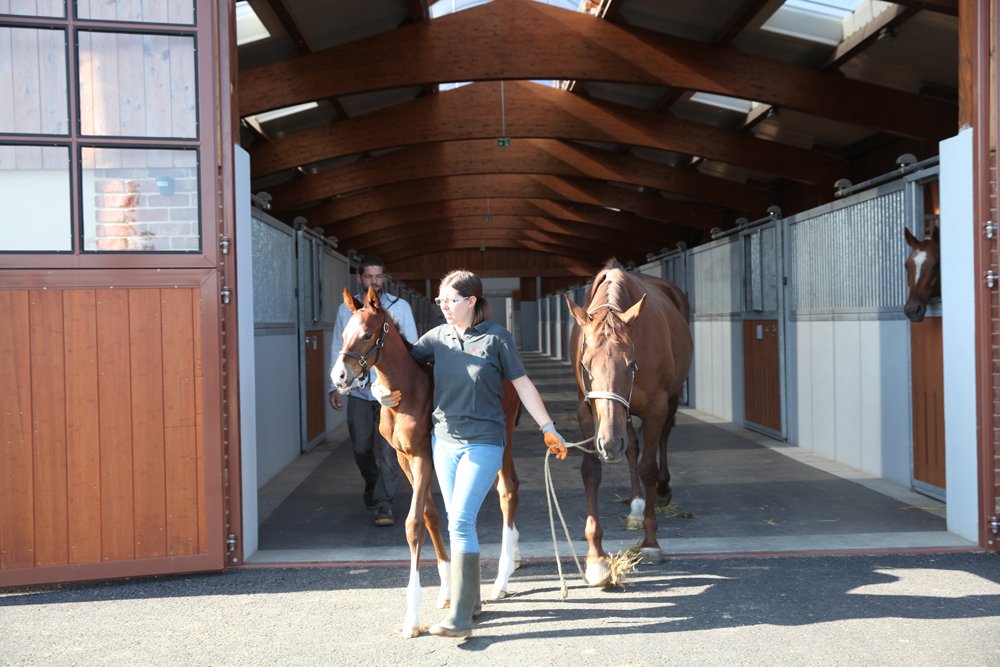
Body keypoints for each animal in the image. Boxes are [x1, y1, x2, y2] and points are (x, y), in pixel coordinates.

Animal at [329, 286, 522, 638]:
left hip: (502, 441)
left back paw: (501, 580)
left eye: (366, 334)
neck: (406, 390)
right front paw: (446, 590)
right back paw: (514, 558)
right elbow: (432, 516)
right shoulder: (405, 457)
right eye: (344, 333)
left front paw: (412, 618)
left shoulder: (422, 456)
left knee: (508, 490)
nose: (339, 376)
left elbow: (414, 524)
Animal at [565, 259, 693, 587]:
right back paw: (635, 505)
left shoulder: (656, 406)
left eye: (632, 364)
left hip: (669, 398)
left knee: (662, 440)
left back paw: (662, 490)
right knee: (633, 446)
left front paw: (651, 543)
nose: (610, 445)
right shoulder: (587, 411)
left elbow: (648, 467)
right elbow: (591, 471)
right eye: (585, 365)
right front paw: (597, 559)